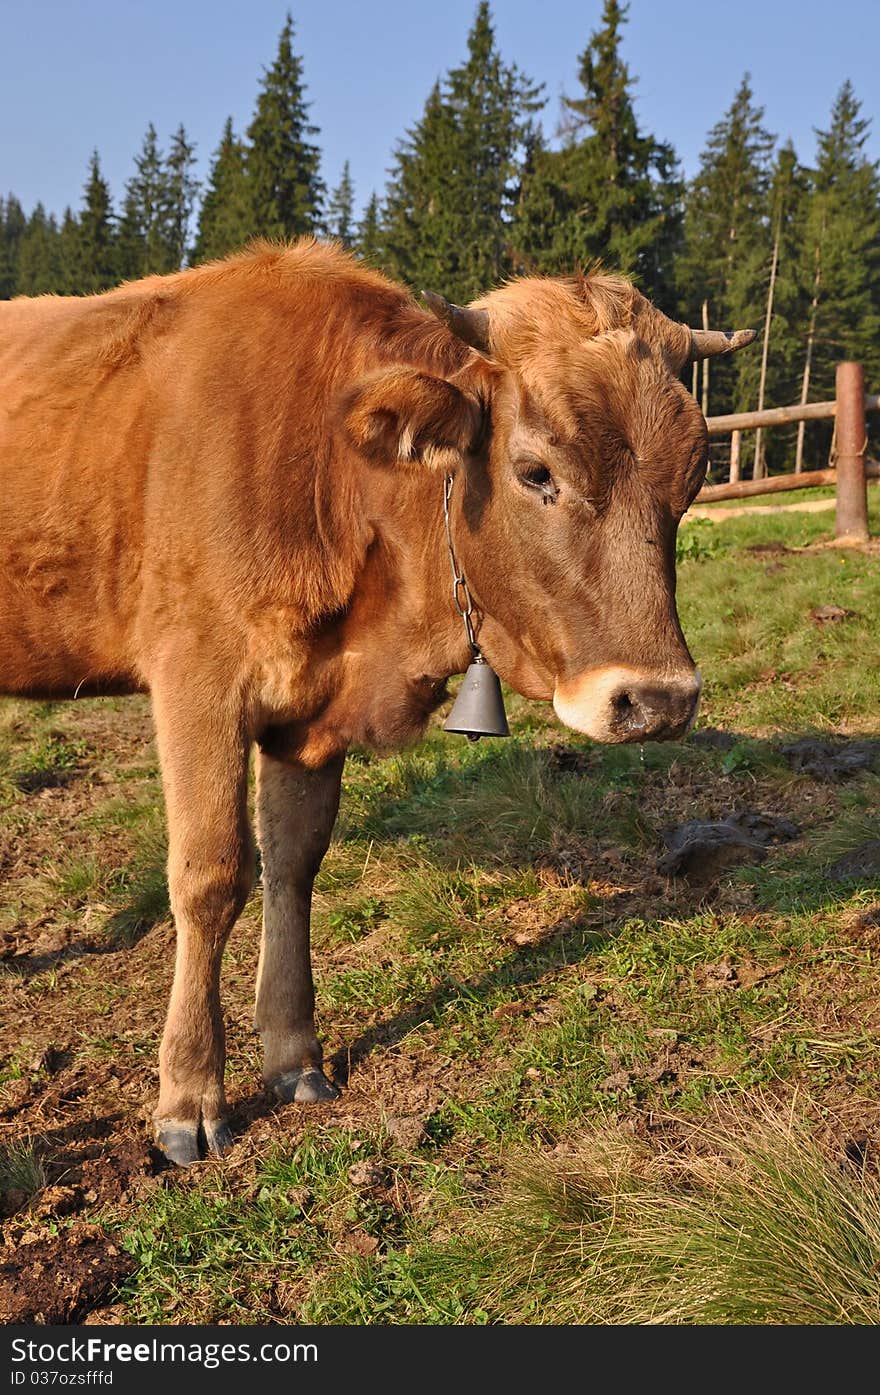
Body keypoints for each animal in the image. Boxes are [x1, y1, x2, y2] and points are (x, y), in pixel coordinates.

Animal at [0, 237, 758, 1155]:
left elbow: (293, 862)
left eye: (694, 477)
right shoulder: (196, 677)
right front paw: (189, 1097)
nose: (657, 700)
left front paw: (294, 1056)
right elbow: (211, 875)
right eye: (535, 470)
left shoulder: (311, 711)